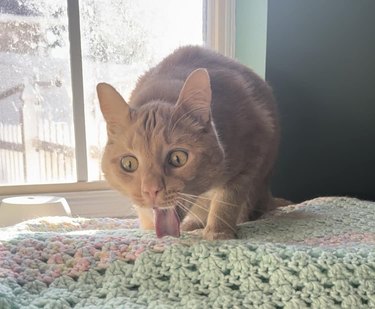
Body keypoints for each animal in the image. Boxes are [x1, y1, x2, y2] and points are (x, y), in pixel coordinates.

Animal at [97, 45, 280, 239]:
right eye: (128, 163)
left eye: (178, 158)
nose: (151, 190)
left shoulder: (251, 154)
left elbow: (226, 201)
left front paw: (218, 232)